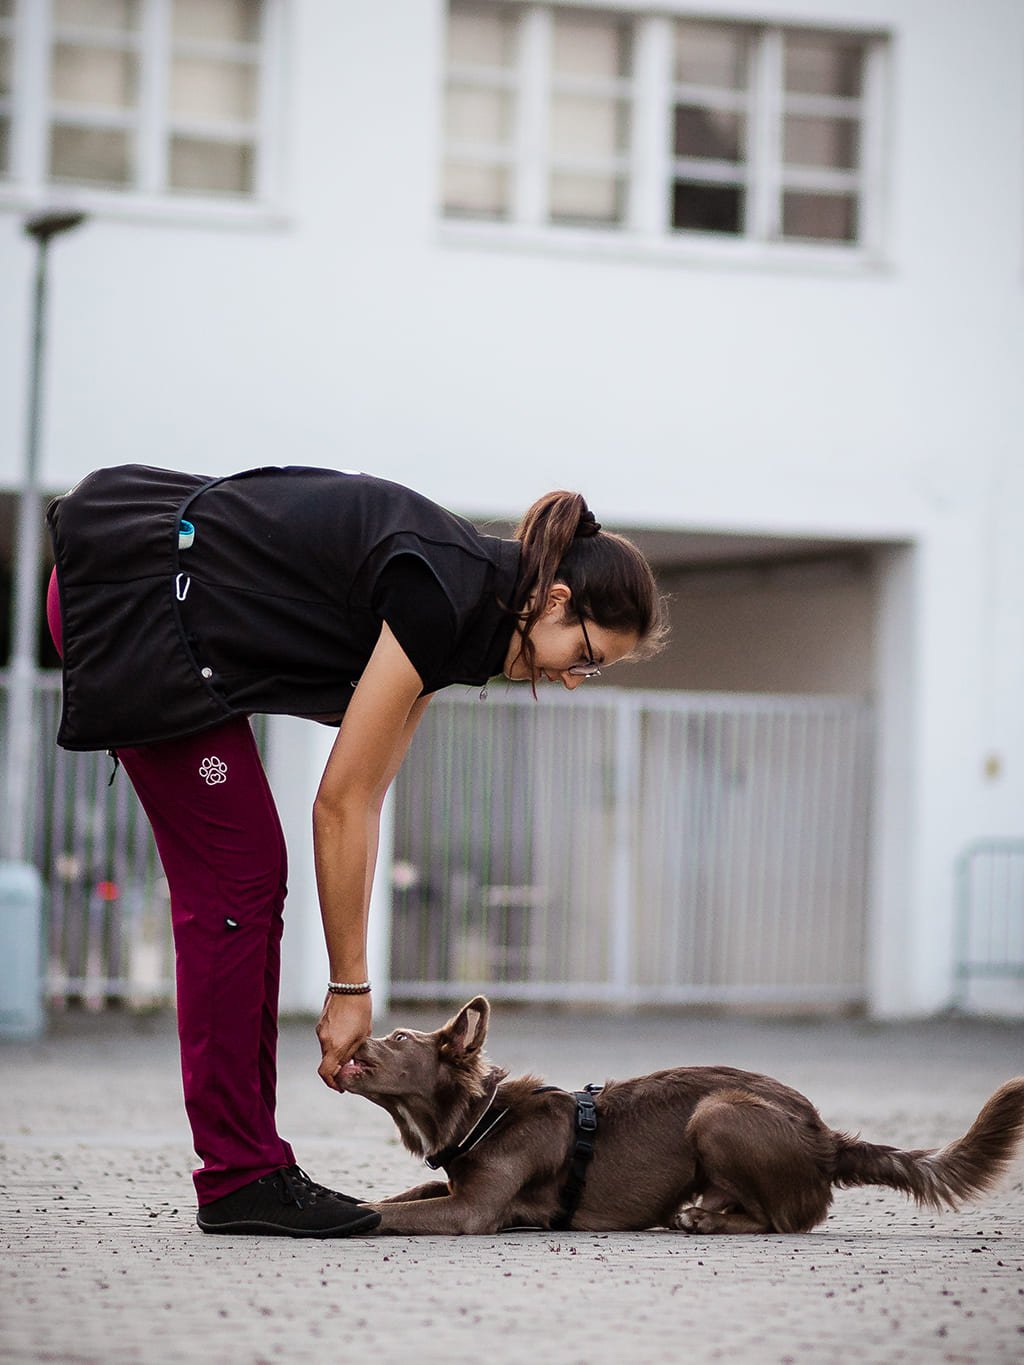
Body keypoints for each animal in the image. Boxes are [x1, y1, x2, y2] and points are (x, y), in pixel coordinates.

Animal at [338, 993, 1024, 1239]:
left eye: (398, 1038)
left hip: (718, 1114)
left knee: (790, 1220)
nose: (356, 1039)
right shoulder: (458, 1186)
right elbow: (406, 1193)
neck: (486, 1116)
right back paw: (699, 1214)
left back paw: (706, 1222)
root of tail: (826, 1136)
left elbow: (394, 1211)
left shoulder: (476, 1210)